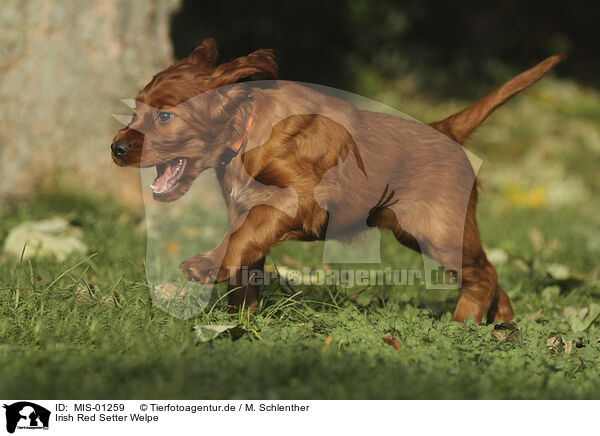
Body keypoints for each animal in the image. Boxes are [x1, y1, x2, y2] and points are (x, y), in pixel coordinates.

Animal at [111, 38, 564, 320]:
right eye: (136, 110)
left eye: (165, 115)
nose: (116, 148)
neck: (246, 131)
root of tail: (445, 129)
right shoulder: (244, 208)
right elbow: (246, 261)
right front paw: (238, 322)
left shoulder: (297, 199)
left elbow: (241, 239)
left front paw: (205, 267)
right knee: (490, 272)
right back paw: (503, 326)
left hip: (438, 231)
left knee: (482, 274)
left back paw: (463, 325)